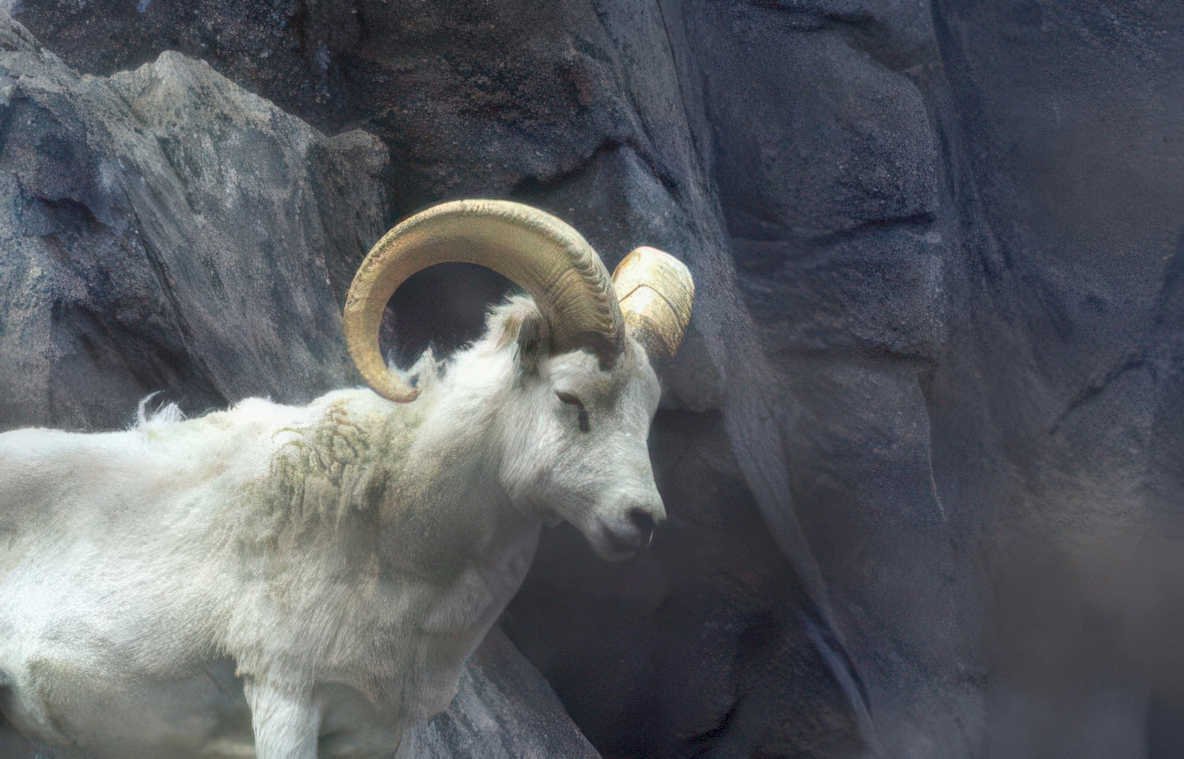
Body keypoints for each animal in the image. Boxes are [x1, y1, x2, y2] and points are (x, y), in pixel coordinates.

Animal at [0, 199, 693, 758]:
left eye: (648, 412)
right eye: (571, 398)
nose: (641, 521)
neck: (393, 549)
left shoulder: (373, 732)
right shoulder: (283, 695)